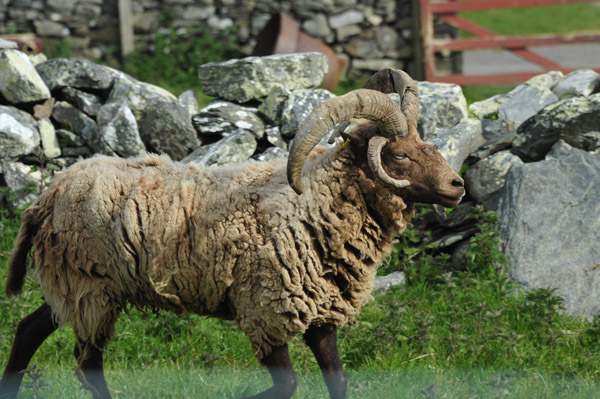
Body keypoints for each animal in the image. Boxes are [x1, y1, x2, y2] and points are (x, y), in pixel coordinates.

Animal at [1, 69, 464, 399]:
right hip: (92, 287)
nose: (457, 185)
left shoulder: (320, 311)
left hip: (77, 285)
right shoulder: (266, 309)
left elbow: (338, 382)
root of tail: (46, 197)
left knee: (28, 331)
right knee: (88, 366)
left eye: (426, 145)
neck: (314, 204)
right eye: (399, 155)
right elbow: (286, 386)